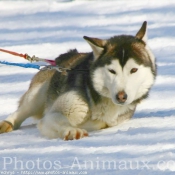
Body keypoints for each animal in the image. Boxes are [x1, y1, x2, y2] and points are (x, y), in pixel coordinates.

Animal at [0, 21, 156, 140]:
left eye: (133, 70)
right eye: (112, 71)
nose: (121, 96)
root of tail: (58, 60)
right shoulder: (54, 114)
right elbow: (57, 120)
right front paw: (71, 130)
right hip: (37, 96)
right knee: (20, 113)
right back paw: (6, 124)